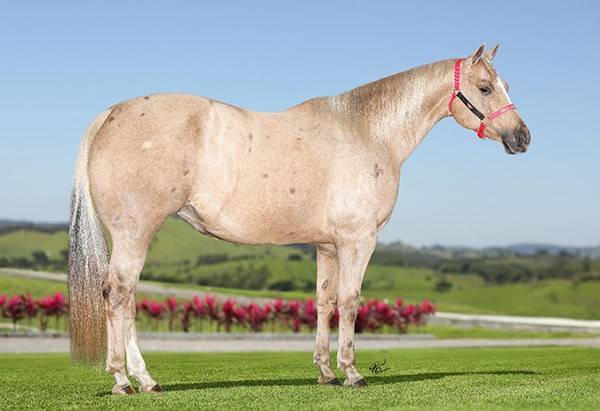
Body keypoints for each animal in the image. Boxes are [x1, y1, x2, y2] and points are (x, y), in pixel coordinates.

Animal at [68, 44, 530, 394]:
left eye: (506, 85)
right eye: (485, 87)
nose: (522, 137)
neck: (367, 133)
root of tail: (111, 113)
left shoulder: (327, 245)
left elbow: (324, 302)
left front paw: (325, 372)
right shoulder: (358, 240)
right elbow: (350, 301)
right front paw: (352, 373)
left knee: (125, 296)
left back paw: (138, 379)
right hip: (135, 231)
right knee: (119, 294)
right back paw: (129, 380)